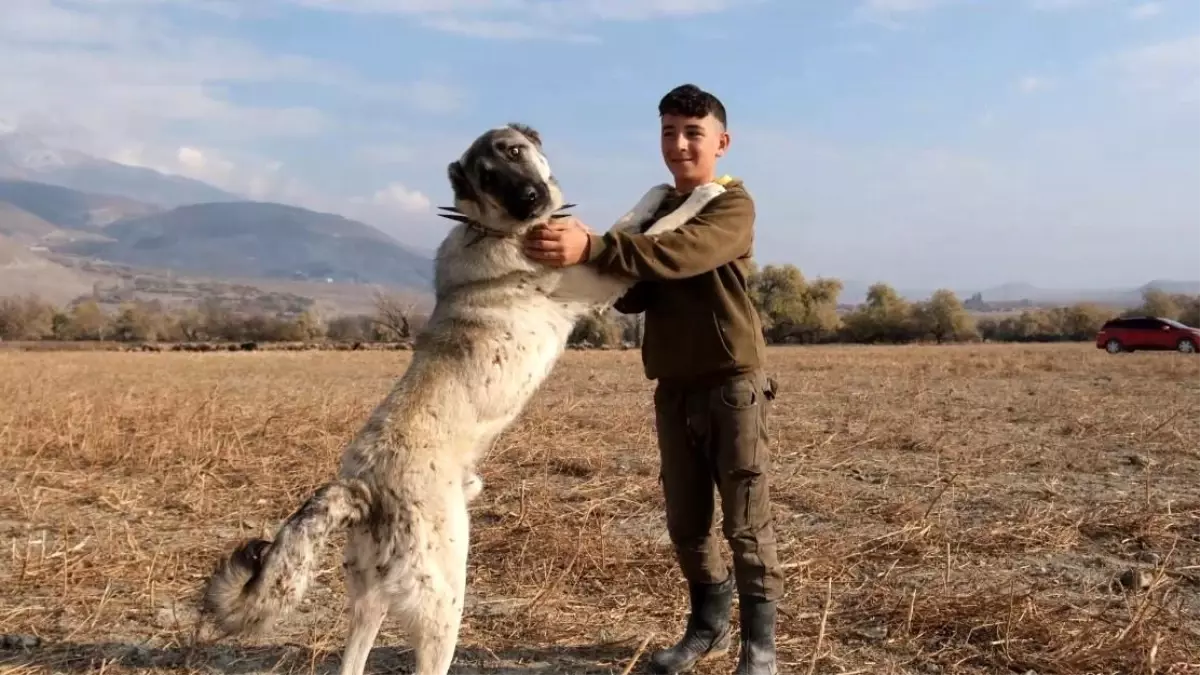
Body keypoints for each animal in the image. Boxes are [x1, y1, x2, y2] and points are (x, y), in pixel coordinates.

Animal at [196, 123, 729, 672]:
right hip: (443, 601)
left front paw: (661, 189)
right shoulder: (602, 277)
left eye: (515, 151)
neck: (492, 228)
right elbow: (654, 232)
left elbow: (632, 221)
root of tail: (361, 487)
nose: (530, 199)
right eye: (487, 178)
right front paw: (706, 193)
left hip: (369, 597)